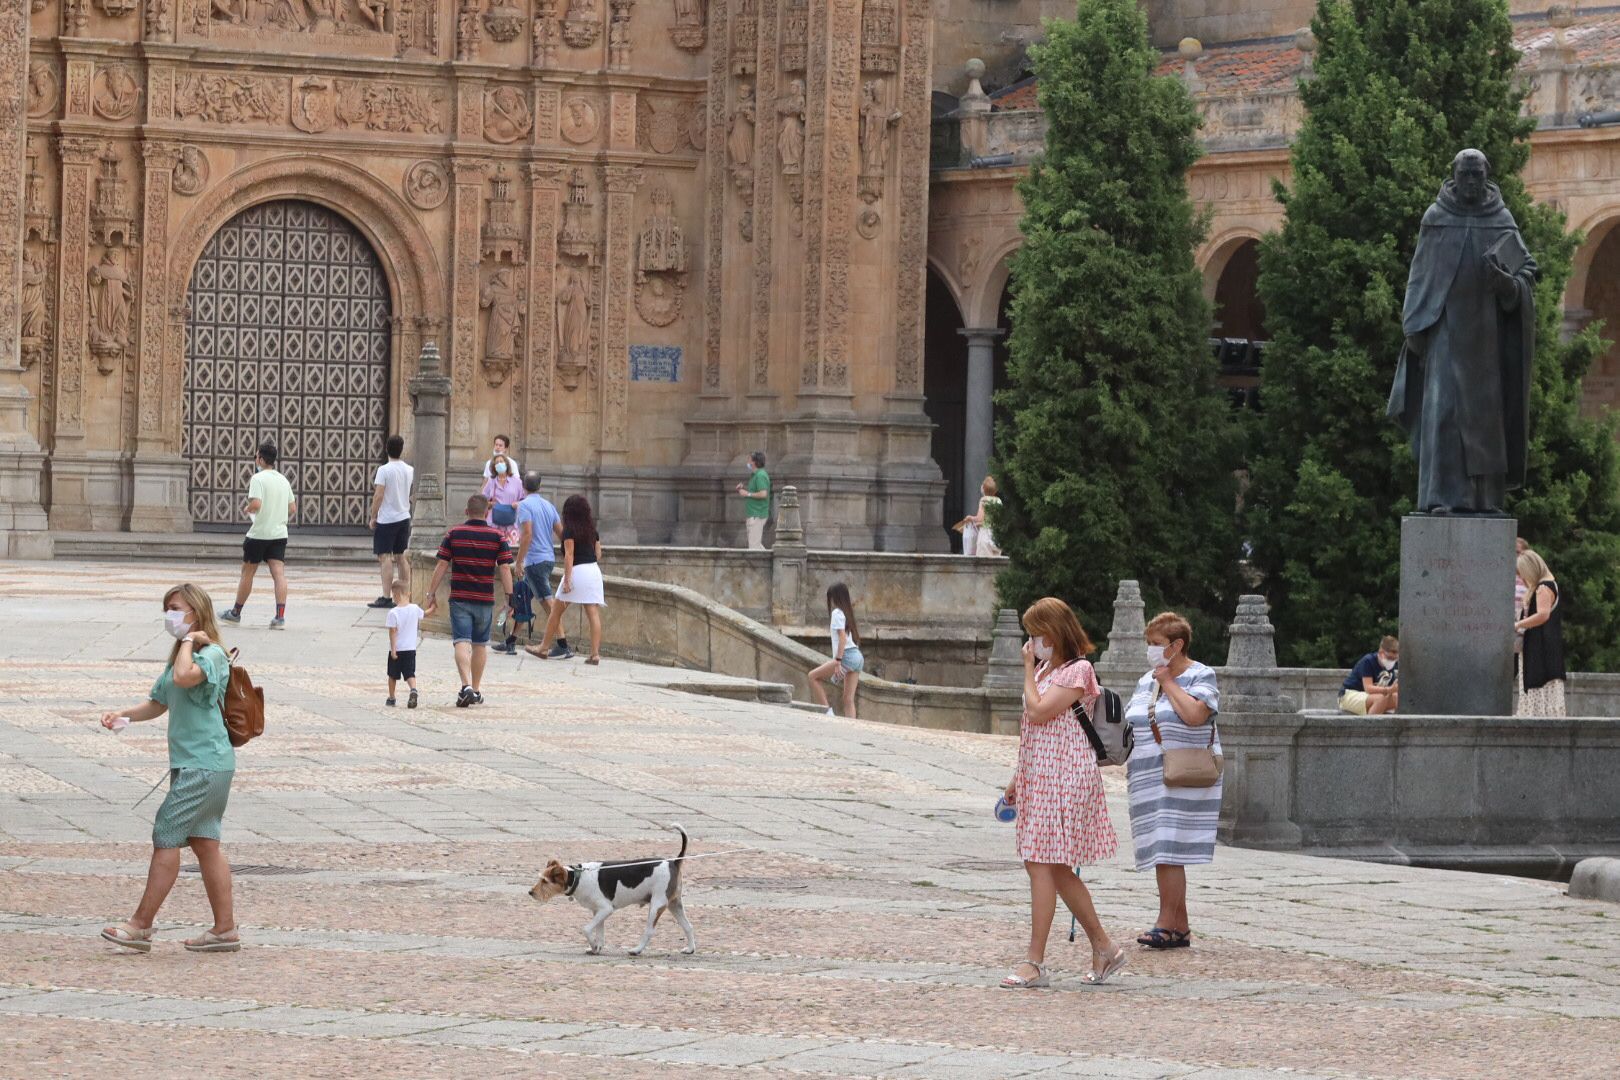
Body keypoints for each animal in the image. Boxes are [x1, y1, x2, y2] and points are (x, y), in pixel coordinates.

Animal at [531, 819, 696, 952]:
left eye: (545, 881)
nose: (530, 893)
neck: (578, 877)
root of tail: (674, 862)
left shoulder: (606, 909)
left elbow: (586, 929)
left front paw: (593, 946)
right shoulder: (598, 911)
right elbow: (600, 933)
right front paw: (596, 948)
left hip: (657, 905)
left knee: (650, 931)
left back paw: (636, 950)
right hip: (674, 904)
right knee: (688, 926)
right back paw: (690, 949)